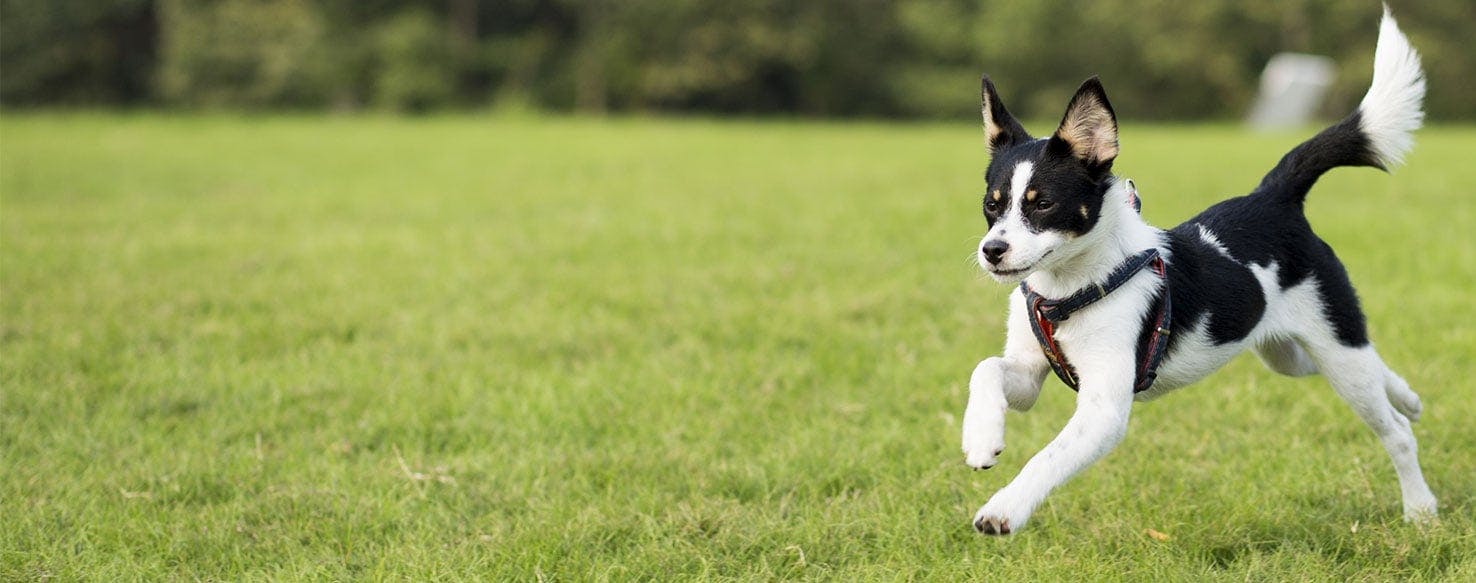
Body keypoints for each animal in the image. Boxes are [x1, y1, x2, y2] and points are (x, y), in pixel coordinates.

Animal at [962, 6, 1434, 537]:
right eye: (991, 204)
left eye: (1042, 204)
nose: (992, 250)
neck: (1070, 288)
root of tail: (1272, 197)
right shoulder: (1027, 375)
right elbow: (987, 369)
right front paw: (980, 438)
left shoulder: (1104, 409)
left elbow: (1047, 458)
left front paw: (1004, 508)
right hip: (1288, 353)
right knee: (1368, 369)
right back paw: (1410, 398)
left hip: (1336, 348)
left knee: (1395, 431)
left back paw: (1421, 509)